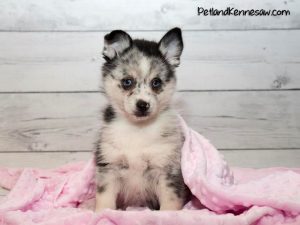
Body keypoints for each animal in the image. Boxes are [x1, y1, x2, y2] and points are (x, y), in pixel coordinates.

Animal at [95, 27, 189, 211]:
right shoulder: (109, 167)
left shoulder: (167, 169)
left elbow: (170, 204)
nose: (143, 105)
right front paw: (102, 213)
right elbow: (104, 201)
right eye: (127, 81)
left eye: (156, 82)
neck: (138, 129)